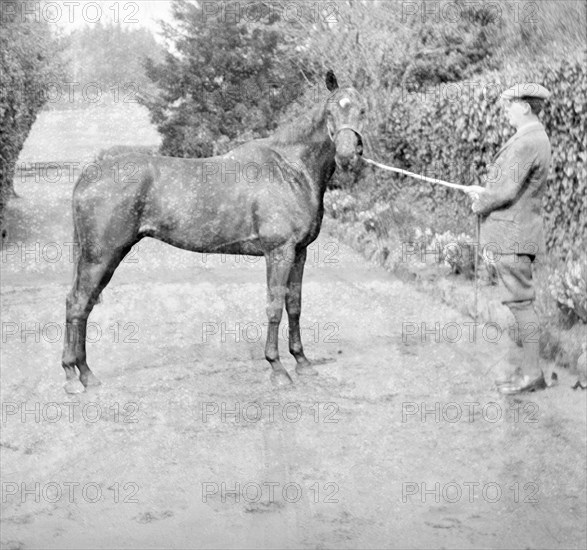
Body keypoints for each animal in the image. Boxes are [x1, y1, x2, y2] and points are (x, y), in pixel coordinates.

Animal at [63, 71, 368, 394]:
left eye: (363, 110)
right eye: (331, 111)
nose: (347, 155)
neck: (290, 168)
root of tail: (89, 174)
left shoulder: (299, 253)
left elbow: (294, 305)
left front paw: (302, 362)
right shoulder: (279, 252)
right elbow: (274, 307)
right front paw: (277, 368)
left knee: (83, 305)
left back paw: (85, 374)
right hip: (102, 255)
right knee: (77, 303)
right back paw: (73, 377)